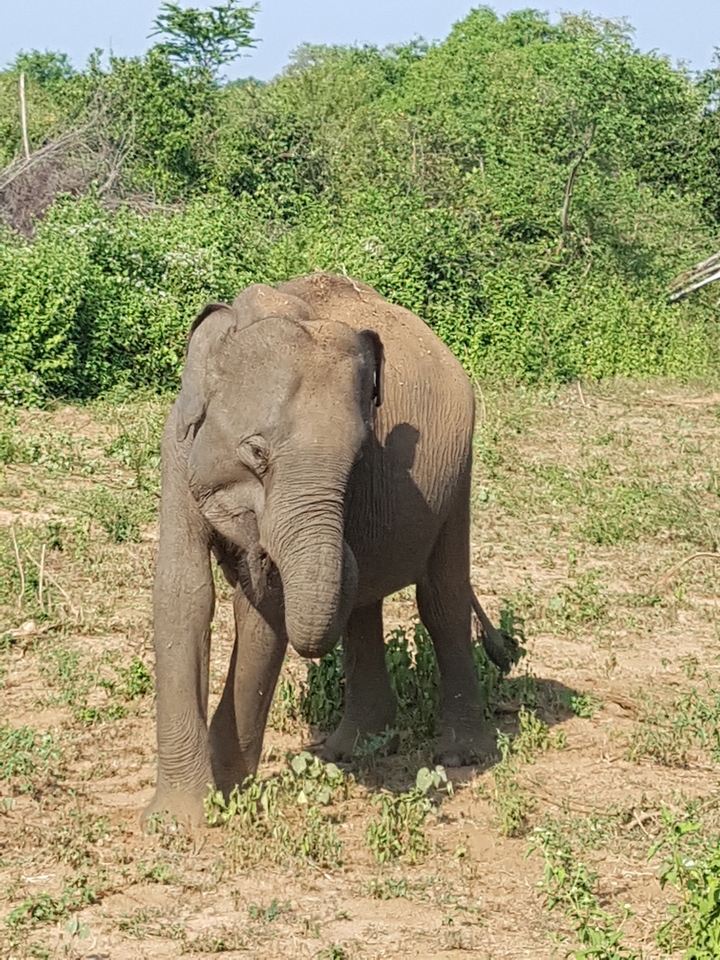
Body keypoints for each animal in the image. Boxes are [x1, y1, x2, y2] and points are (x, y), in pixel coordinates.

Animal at [144, 272, 514, 825]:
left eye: (359, 458)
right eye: (256, 452)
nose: (254, 554)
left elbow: (264, 612)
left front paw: (228, 791)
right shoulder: (176, 449)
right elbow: (183, 592)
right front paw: (178, 820)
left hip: (461, 469)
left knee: (441, 598)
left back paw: (460, 755)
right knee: (363, 605)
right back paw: (352, 749)